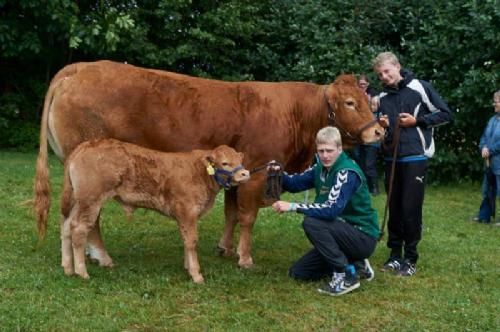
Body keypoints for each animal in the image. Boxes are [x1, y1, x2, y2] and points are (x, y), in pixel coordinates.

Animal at [55, 140, 250, 282]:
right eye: (225, 163)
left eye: (240, 161)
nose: (245, 174)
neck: (200, 172)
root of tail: (86, 145)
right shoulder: (188, 211)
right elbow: (192, 241)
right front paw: (196, 275)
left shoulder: (184, 216)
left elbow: (185, 240)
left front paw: (188, 267)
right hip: (90, 200)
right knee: (78, 229)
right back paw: (81, 272)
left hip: (77, 201)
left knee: (66, 226)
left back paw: (68, 268)